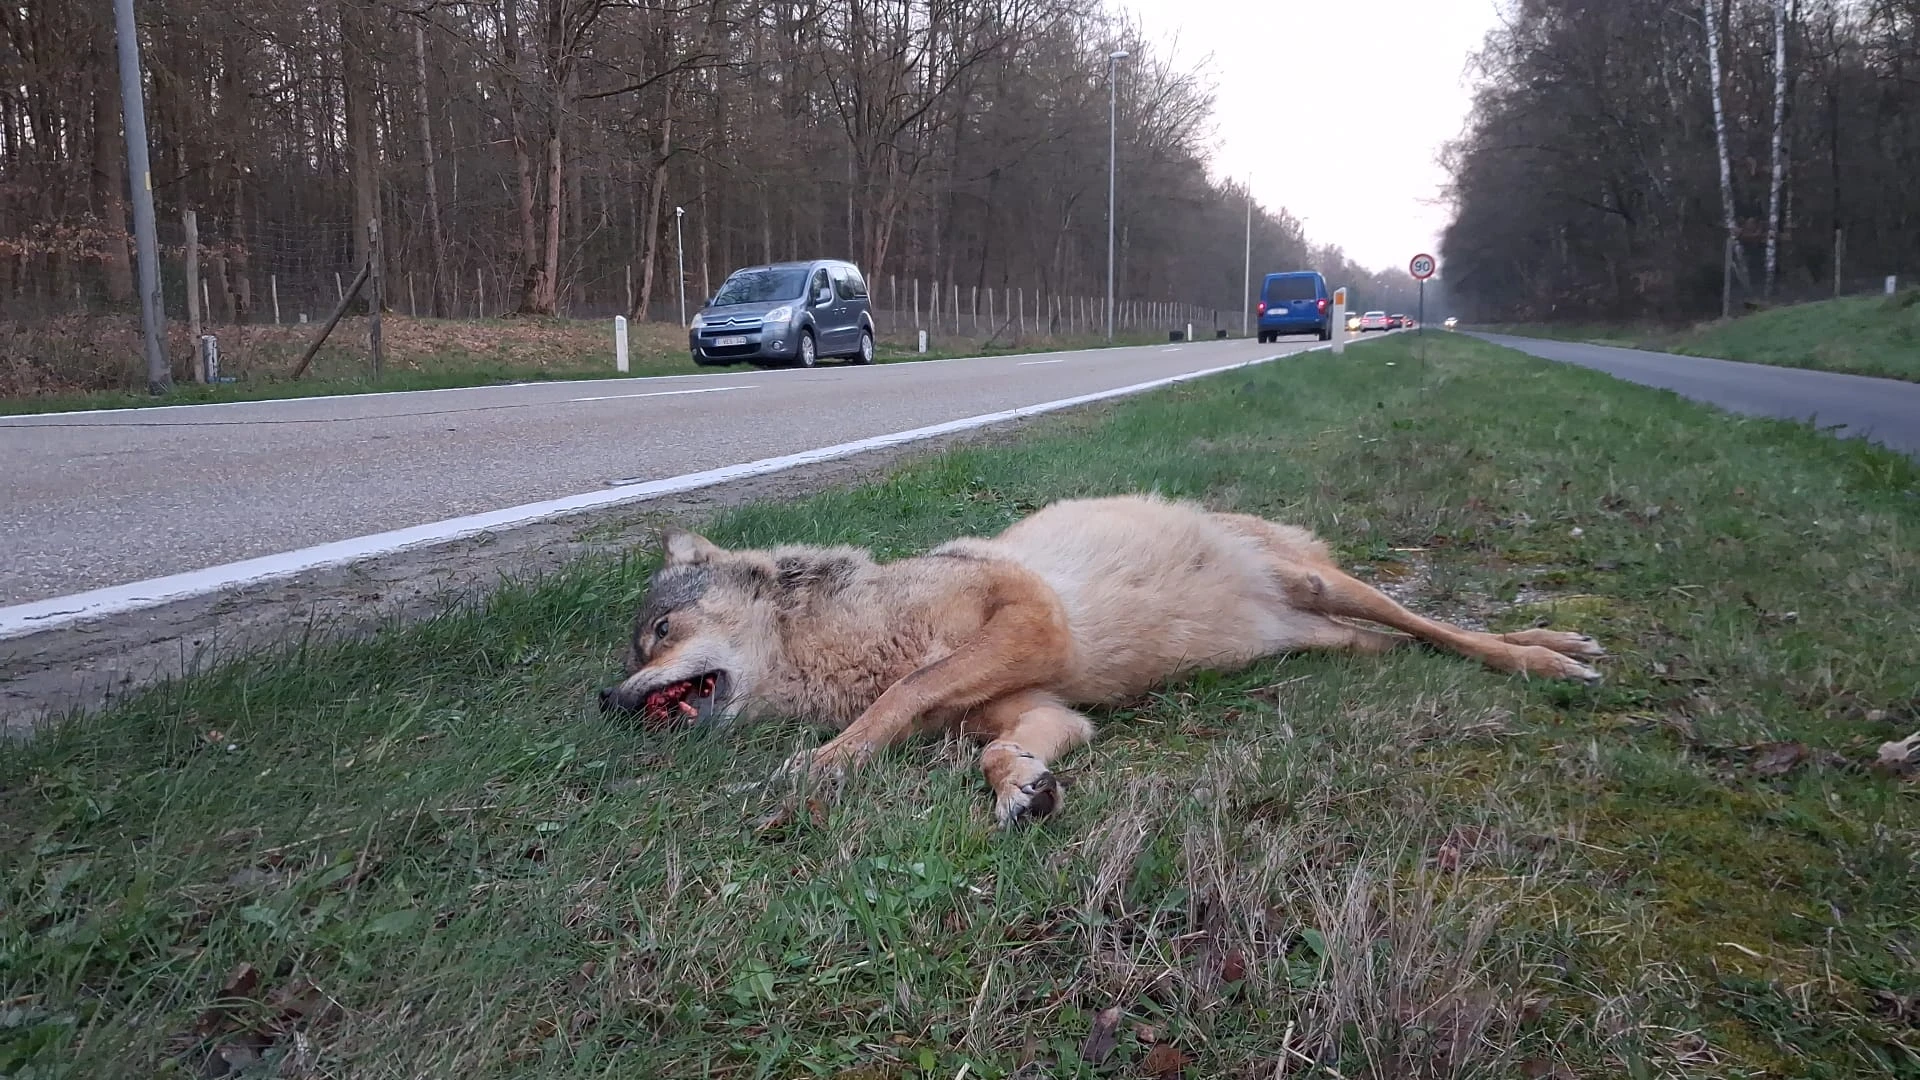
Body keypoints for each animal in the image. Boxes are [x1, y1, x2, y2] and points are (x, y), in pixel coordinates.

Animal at [598, 493, 1604, 828]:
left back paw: (1552, 656)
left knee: (1441, 628)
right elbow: (991, 746)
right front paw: (1020, 785)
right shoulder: (1042, 706)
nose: (607, 699)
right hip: (1323, 635)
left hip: (1326, 587)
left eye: (656, 634)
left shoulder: (1026, 618)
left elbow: (908, 693)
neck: (853, 640)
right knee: (1401, 642)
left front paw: (828, 761)